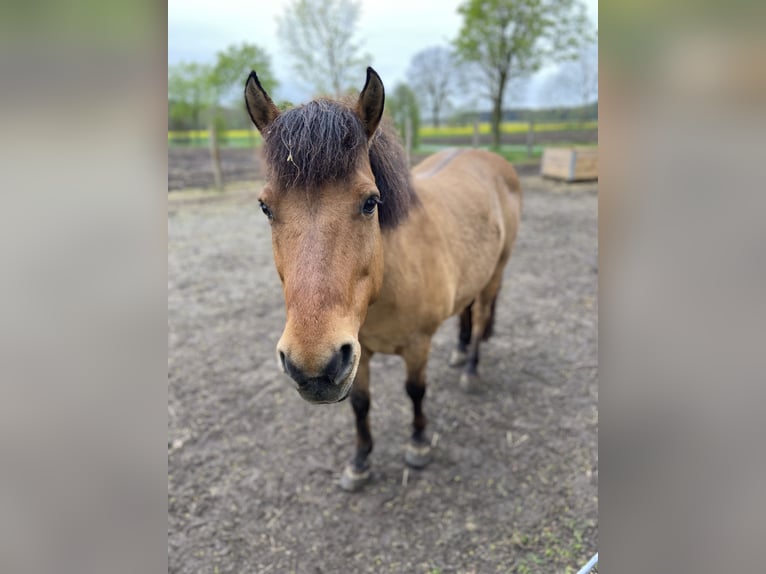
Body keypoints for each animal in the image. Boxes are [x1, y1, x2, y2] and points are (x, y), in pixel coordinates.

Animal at [246, 66, 520, 490]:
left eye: (370, 202)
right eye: (264, 207)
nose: (312, 368)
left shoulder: (417, 345)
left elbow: (415, 390)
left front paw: (419, 444)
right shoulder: (356, 353)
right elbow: (361, 403)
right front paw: (359, 462)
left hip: (496, 274)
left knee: (480, 319)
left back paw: (471, 370)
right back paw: (459, 353)